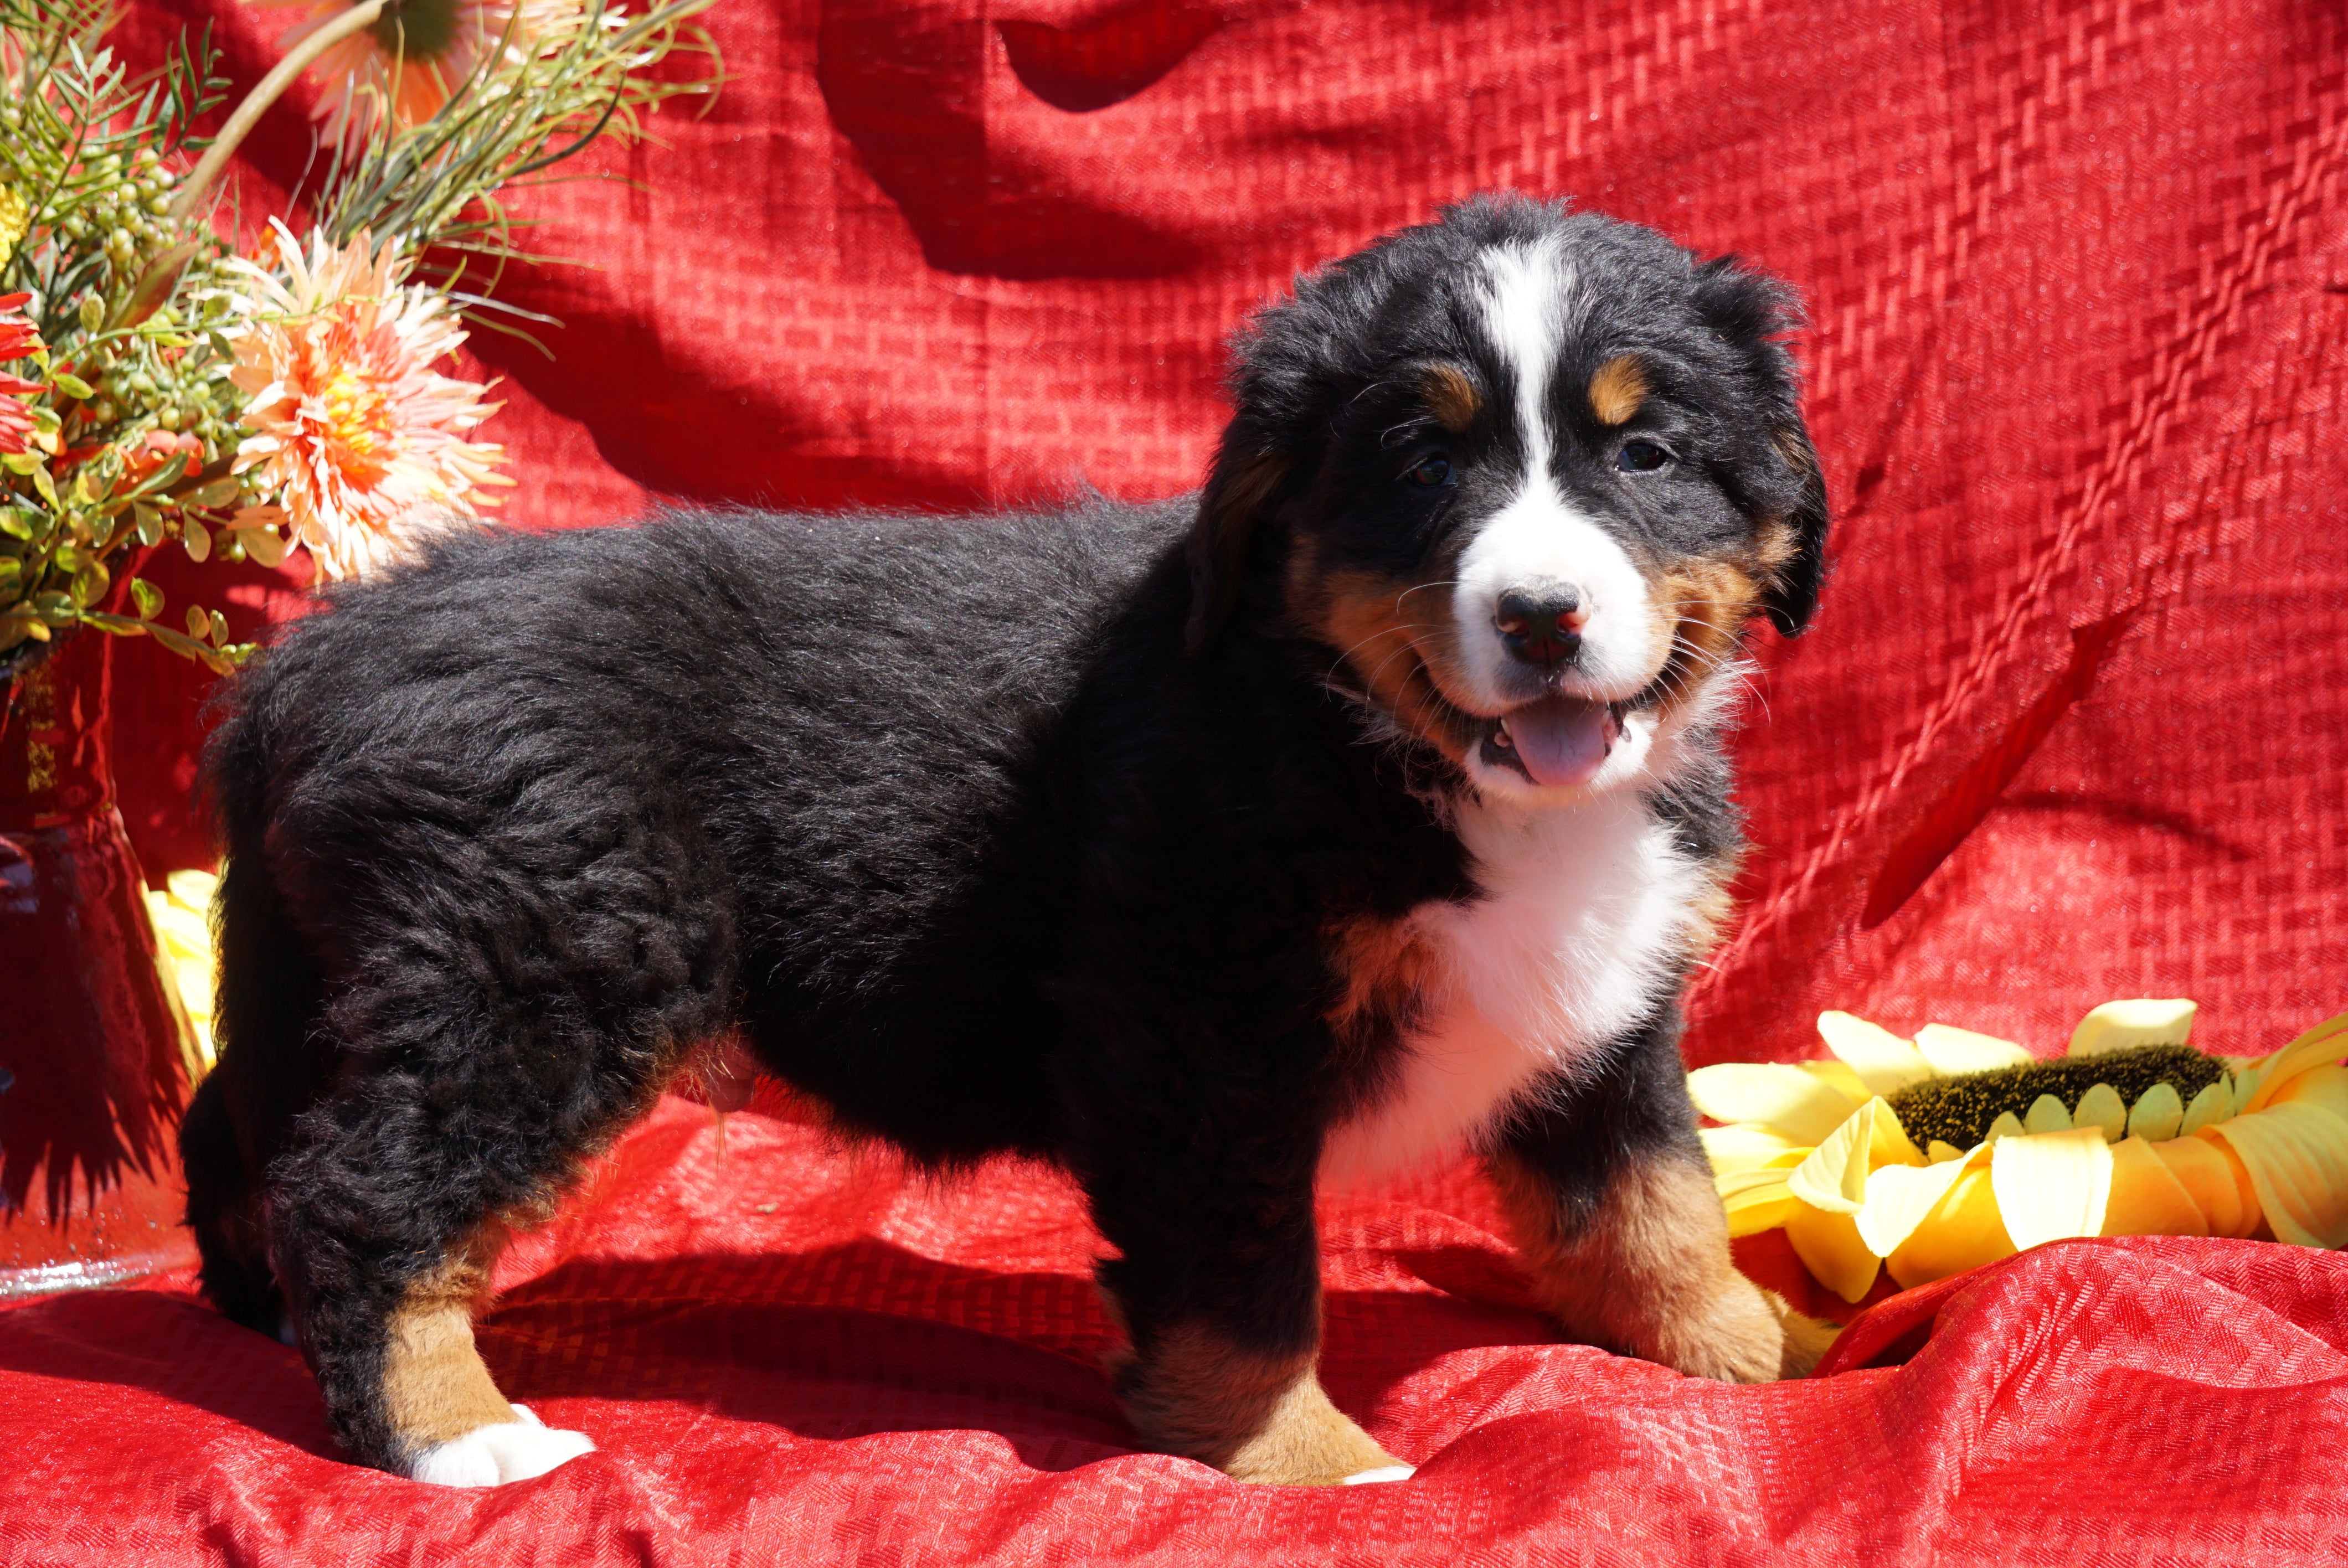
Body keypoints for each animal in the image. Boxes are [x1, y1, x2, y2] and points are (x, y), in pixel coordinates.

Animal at [183, 199, 1831, 1493]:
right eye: (1422, 465)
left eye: (1649, 452)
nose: (1541, 617)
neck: (1366, 729)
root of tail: (320, 652)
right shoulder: (1199, 1030)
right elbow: (1243, 1285)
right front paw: (1310, 1465)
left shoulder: (1608, 1010)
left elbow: (1653, 1198)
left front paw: (1754, 1351)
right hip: (543, 969)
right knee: (364, 1190)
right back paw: (454, 1435)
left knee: (248, 1130)